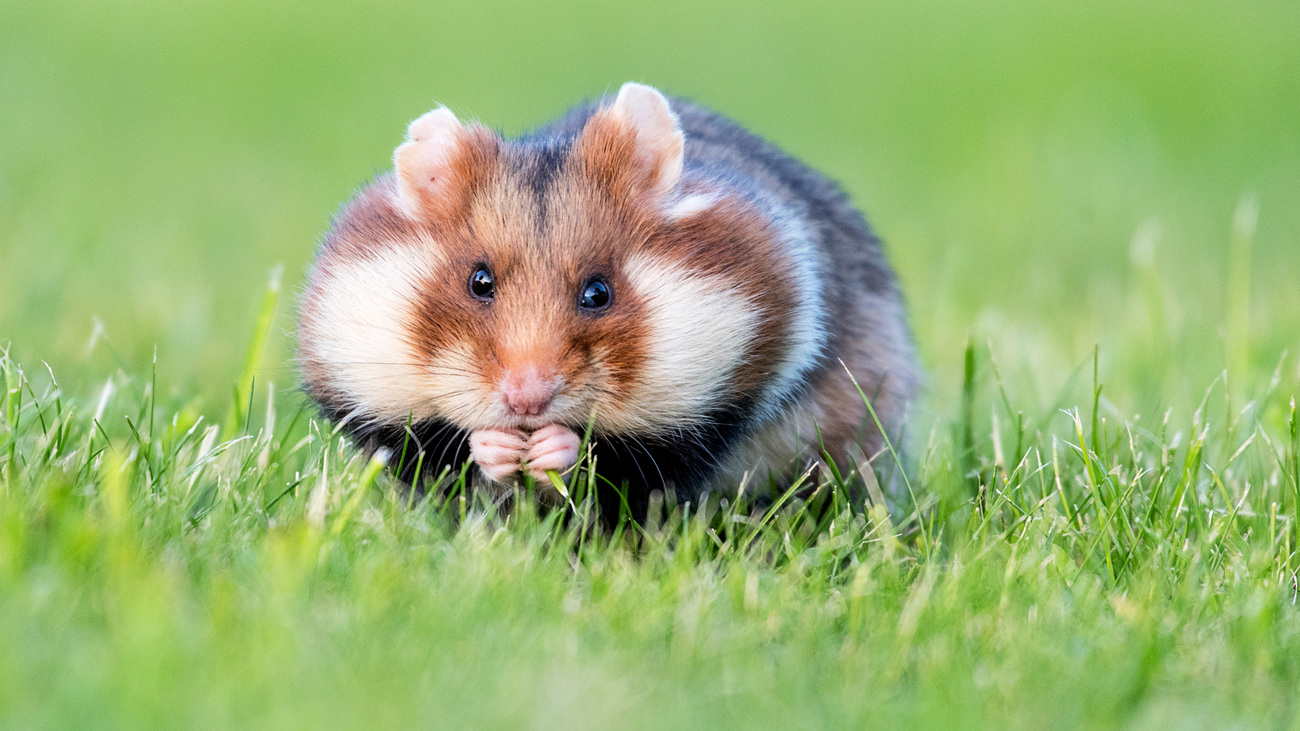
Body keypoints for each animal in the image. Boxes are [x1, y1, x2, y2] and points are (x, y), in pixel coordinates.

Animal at [299, 82, 920, 515]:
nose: (527, 400)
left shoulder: (715, 406)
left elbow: (628, 458)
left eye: (598, 292)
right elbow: (437, 453)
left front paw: (552, 446)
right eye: (479, 281)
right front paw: (496, 447)